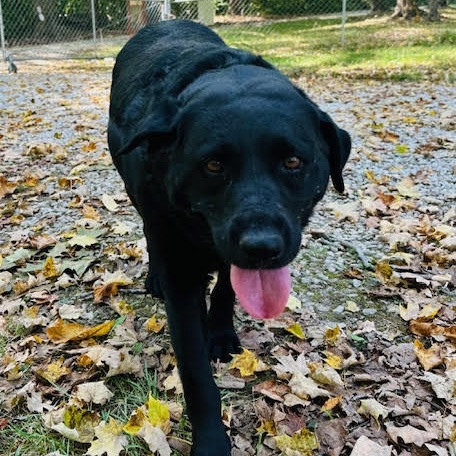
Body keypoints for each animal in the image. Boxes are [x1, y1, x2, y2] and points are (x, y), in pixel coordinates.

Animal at [108, 20, 350, 456]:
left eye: (293, 161)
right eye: (213, 165)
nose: (262, 246)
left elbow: (225, 291)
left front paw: (220, 333)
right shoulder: (179, 271)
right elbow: (195, 372)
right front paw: (210, 442)